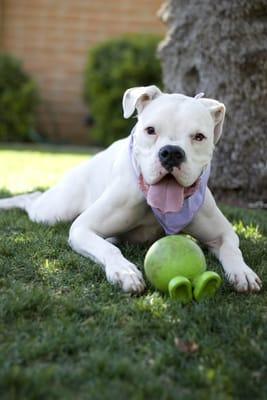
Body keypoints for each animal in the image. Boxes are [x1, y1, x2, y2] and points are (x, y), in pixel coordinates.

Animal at [0, 86, 262, 294]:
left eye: (199, 137)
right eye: (150, 130)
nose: (171, 153)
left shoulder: (224, 233)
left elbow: (232, 248)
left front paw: (243, 272)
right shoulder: (82, 228)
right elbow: (108, 249)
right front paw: (124, 271)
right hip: (54, 211)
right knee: (34, 198)